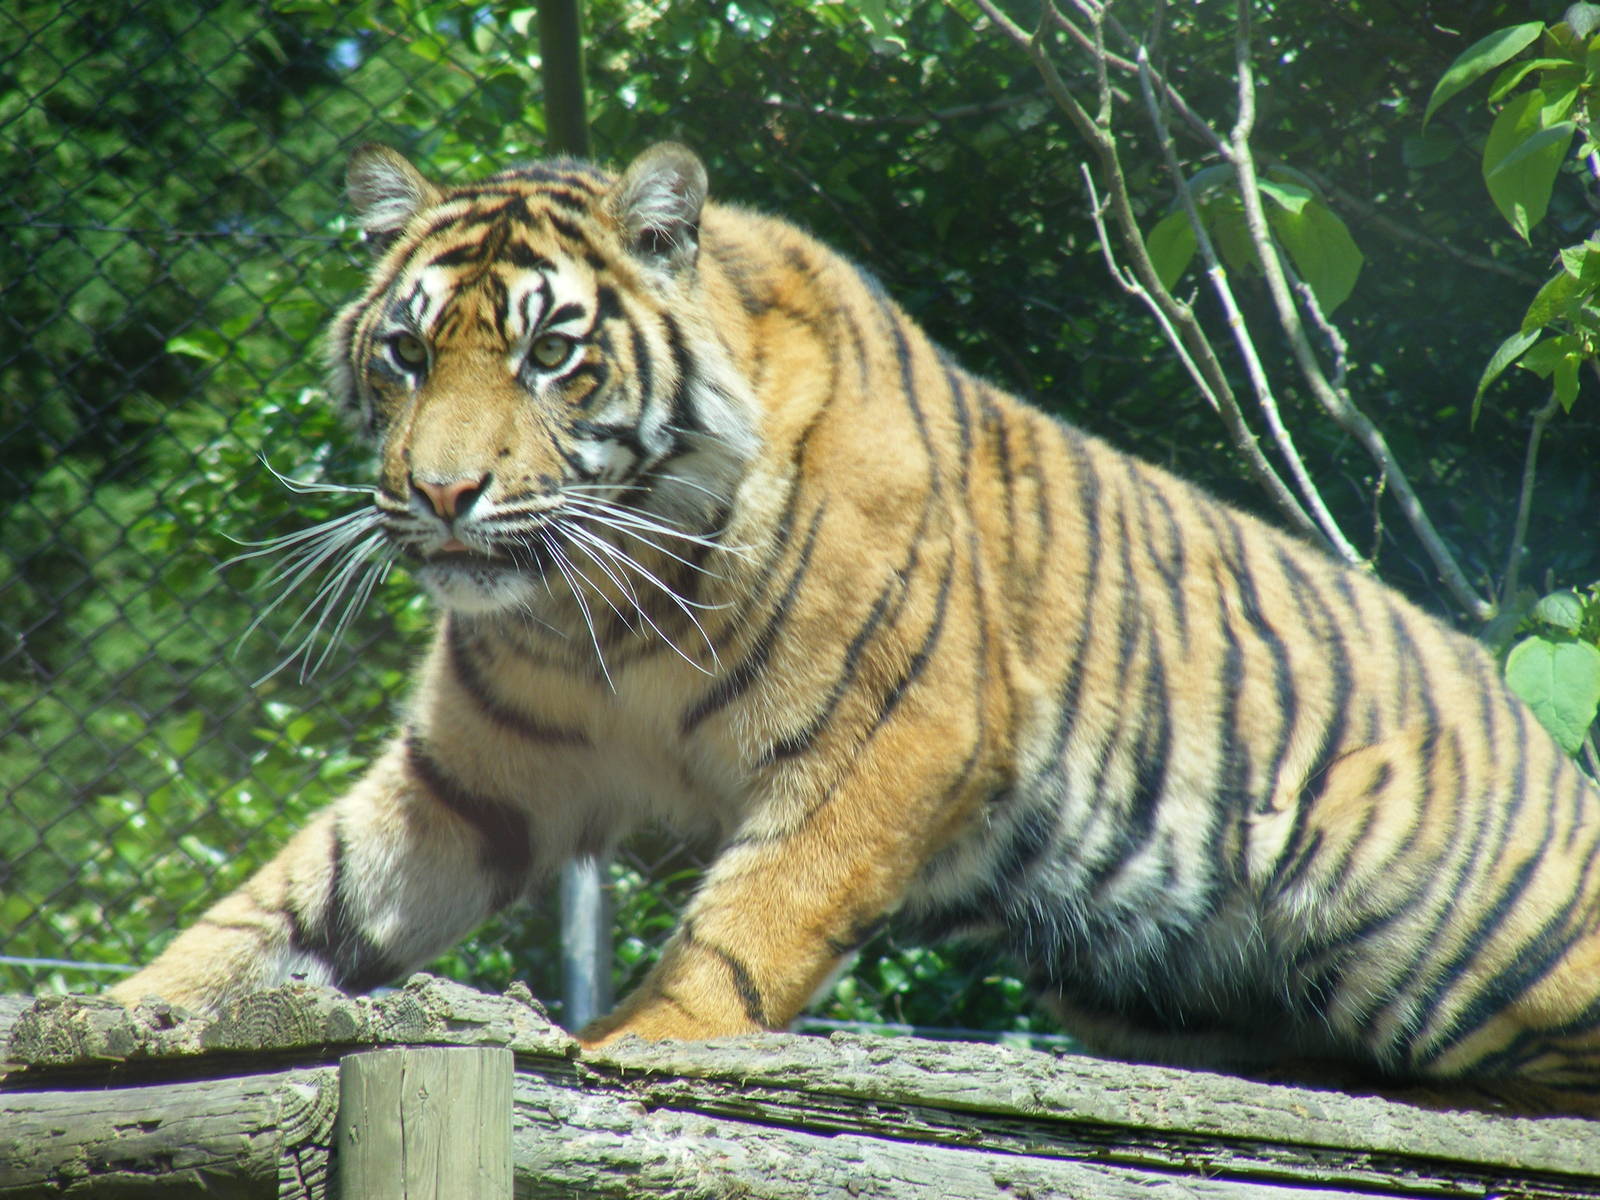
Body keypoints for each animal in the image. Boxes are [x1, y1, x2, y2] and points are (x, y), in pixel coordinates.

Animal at [110, 139, 1600, 1112]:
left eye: (551, 353)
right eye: (407, 353)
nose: (439, 492)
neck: (599, 608)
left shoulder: (897, 736)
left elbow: (749, 924)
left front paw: (637, 1040)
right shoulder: (471, 773)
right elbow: (292, 893)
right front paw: (127, 1013)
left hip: (1463, 958)